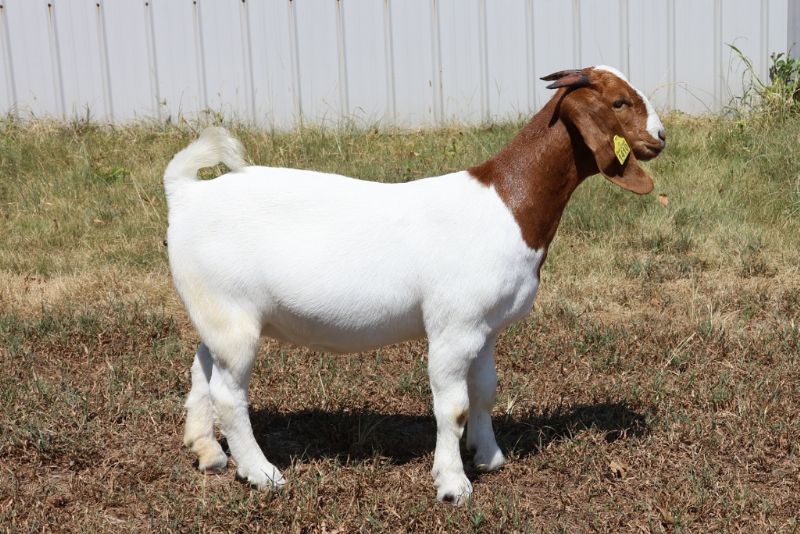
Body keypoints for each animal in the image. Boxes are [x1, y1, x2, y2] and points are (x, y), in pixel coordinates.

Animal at [164, 65, 666, 505]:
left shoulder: (486, 327)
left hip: (217, 310)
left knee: (202, 367)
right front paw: (452, 484)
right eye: (619, 101)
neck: (507, 203)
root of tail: (185, 193)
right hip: (232, 313)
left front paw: (488, 456)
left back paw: (207, 452)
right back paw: (262, 473)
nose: (660, 137)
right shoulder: (453, 325)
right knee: (229, 394)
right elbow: (453, 405)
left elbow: (485, 388)